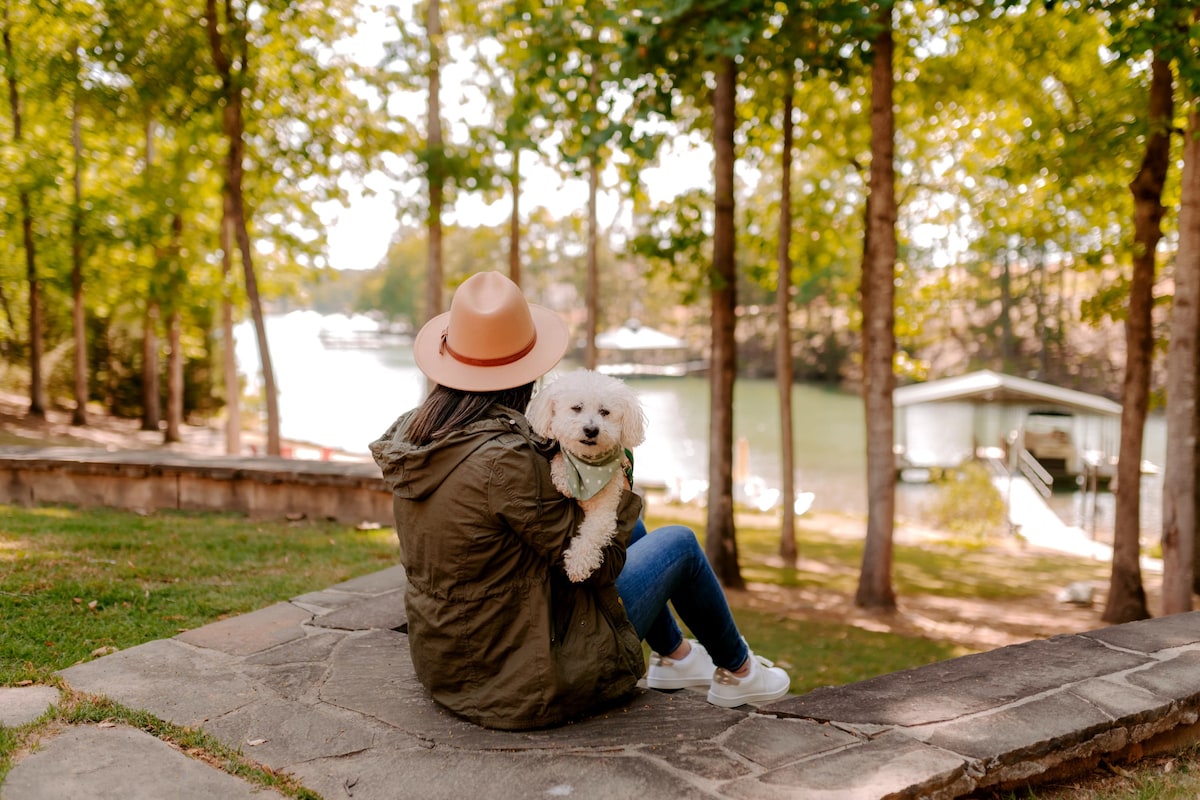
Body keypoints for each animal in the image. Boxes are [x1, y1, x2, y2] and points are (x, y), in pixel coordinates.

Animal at [528, 369, 648, 582]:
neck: (588, 468)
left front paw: (577, 564)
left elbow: (592, 534)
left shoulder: (605, 511)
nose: (591, 430)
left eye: (605, 412)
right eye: (577, 408)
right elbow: (562, 454)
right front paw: (563, 476)